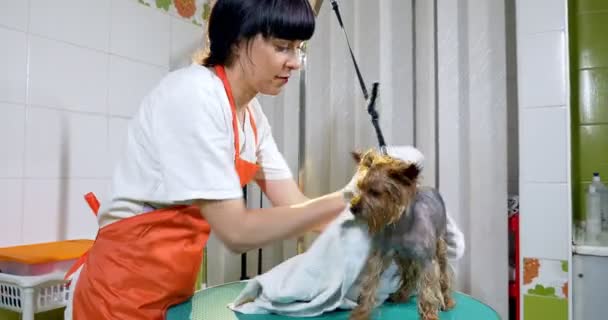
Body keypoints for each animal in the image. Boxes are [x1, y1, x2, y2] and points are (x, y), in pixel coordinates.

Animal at [346, 149, 452, 320]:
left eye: (375, 192)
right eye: (360, 188)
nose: (353, 208)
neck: (402, 227)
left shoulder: (426, 260)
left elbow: (428, 289)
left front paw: (429, 313)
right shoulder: (380, 255)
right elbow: (370, 283)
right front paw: (361, 312)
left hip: (440, 246)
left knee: (443, 275)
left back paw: (447, 300)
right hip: (403, 257)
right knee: (410, 276)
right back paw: (401, 295)